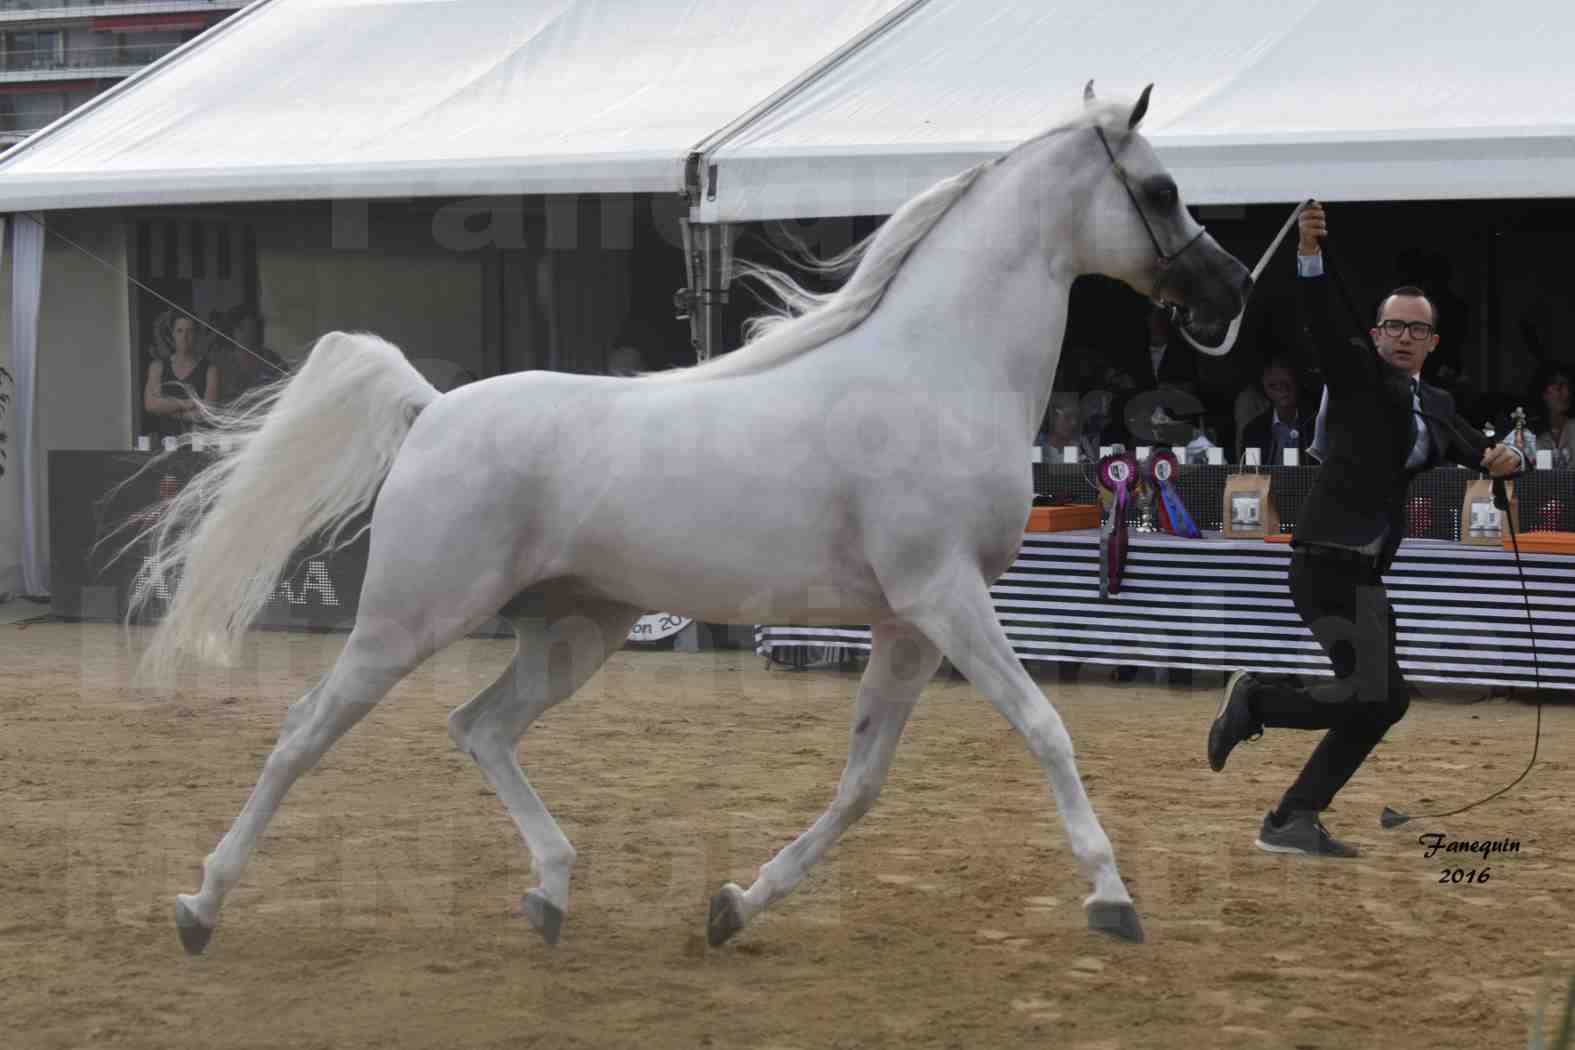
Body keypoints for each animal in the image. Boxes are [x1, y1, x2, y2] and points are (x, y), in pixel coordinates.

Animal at [138, 86, 1241, 957]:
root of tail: (432, 409)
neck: (936, 372)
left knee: (480, 726)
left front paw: (734, 907)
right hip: (410, 620)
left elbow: (862, 782)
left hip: (580, 629)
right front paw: (1113, 899)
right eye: (1159, 190)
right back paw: (201, 906)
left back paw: (550, 893)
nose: (1228, 290)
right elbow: (1046, 728)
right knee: (304, 731)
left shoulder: (908, 623)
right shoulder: (945, 597)